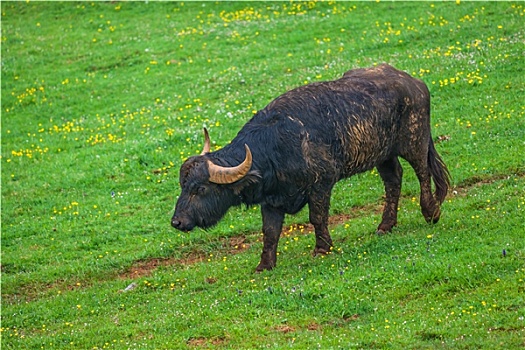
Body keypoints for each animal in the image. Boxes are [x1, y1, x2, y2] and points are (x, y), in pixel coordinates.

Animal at [172, 64, 450, 272]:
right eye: (183, 186)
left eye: (200, 189)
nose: (177, 221)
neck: (276, 147)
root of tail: (414, 82)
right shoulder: (271, 200)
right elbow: (270, 232)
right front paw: (264, 265)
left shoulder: (322, 183)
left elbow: (317, 217)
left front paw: (322, 248)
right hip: (383, 155)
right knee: (394, 180)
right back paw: (385, 225)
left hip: (415, 141)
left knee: (422, 172)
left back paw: (431, 211)